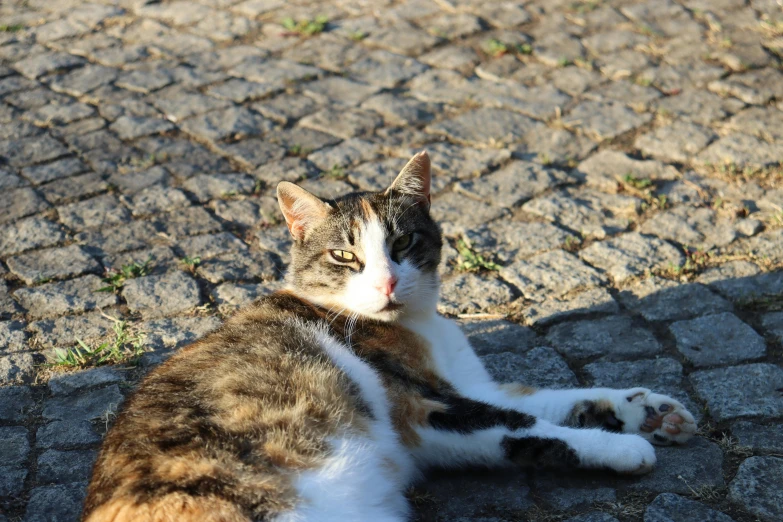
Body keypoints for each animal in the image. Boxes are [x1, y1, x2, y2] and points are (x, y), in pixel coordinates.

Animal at [82, 150, 700, 520]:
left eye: (402, 243)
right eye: (344, 255)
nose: (385, 281)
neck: (415, 324)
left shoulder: (473, 386)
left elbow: (556, 400)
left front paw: (649, 411)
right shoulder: (425, 409)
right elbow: (529, 427)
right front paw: (624, 447)